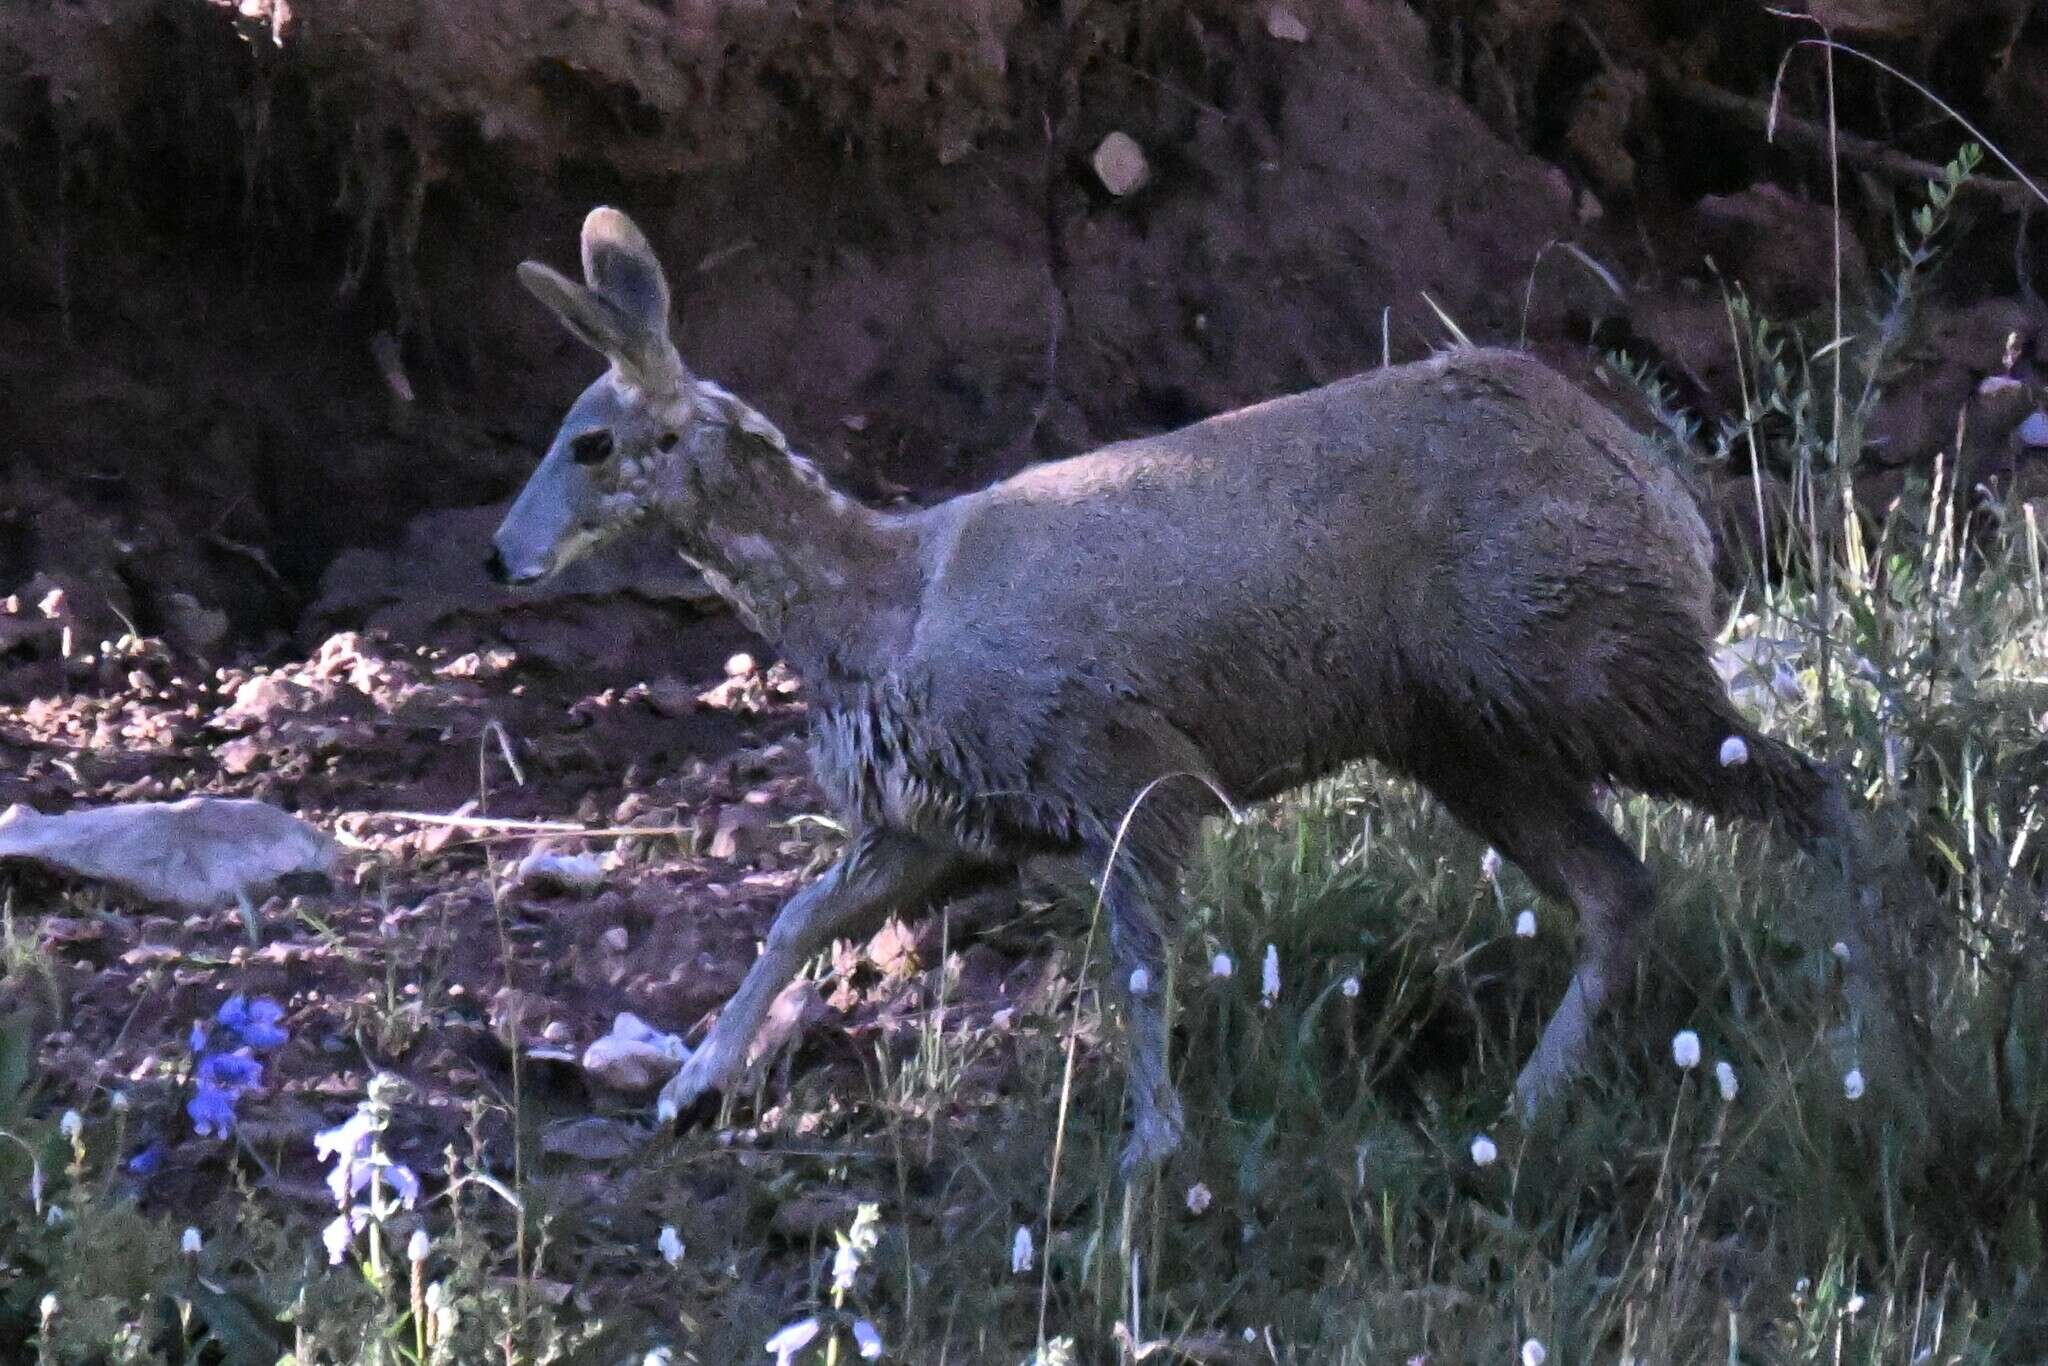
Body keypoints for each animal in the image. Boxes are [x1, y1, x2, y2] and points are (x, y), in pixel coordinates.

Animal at [487, 208, 1875, 1171]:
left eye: (590, 439)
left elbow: (1139, 967)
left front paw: (1149, 1148)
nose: (500, 556)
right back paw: (1530, 1099)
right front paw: (687, 1085)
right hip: (1461, 733)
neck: (883, 603)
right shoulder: (940, 819)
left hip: (1590, 656)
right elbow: (795, 918)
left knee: (1812, 794)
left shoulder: (1122, 768)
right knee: (1621, 883)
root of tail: (1666, 500)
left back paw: (1866, 1007)